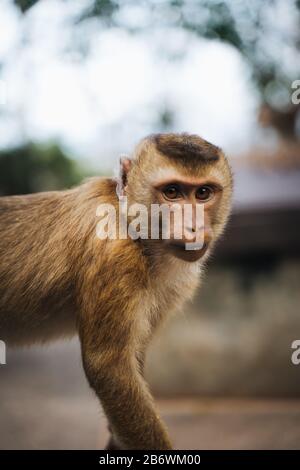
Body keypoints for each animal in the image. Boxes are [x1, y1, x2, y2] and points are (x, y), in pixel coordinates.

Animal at [0, 132, 233, 448]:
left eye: (203, 193)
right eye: (172, 192)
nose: (194, 228)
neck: (134, 228)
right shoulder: (115, 255)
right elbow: (110, 369)